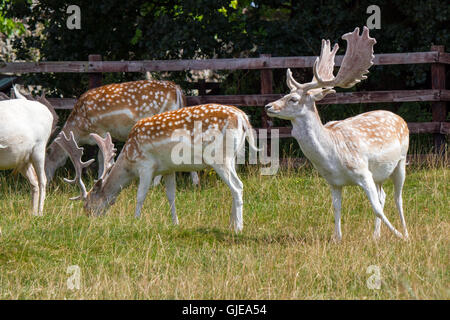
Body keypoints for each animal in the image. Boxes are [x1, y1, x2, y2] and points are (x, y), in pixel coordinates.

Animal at [0, 85, 58, 215]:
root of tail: (49, 113)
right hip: (23, 160)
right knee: (34, 182)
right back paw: (33, 213)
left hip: (39, 149)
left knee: (43, 180)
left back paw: (40, 213)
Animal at [44, 79, 199, 185]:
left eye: (45, 159)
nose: (46, 182)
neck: (79, 128)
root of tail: (177, 90)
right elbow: (102, 156)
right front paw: (99, 178)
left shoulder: (100, 129)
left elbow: (104, 157)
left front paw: (102, 179)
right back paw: (195, 183)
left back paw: (155, 184)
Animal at [56, 105, 256, 232]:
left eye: (87, 204)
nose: (89, 220)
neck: (129, 159)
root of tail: (243, 119)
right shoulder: (168, 169)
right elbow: (171, 196)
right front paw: (175, 223)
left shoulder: (146, 165)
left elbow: (140, 195)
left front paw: (135, 221)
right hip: (233, 158)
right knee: (234, 187)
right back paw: (231, 224)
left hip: (220, 157)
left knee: (237, 186)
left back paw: (238, 227)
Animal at [266, 26, 410, 240]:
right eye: (284, 94)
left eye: (293, 99)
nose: (268, 106)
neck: (331, 157)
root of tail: (400, 118)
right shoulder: (333, 182)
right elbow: (336, 207)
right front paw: (337, 238)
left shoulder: (362, 171)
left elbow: (376, 208)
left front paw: (399, 235)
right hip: (379, 172)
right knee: (383, 195)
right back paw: (376, 235)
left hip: (401, 160)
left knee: (397, 198)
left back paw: (405, 232)